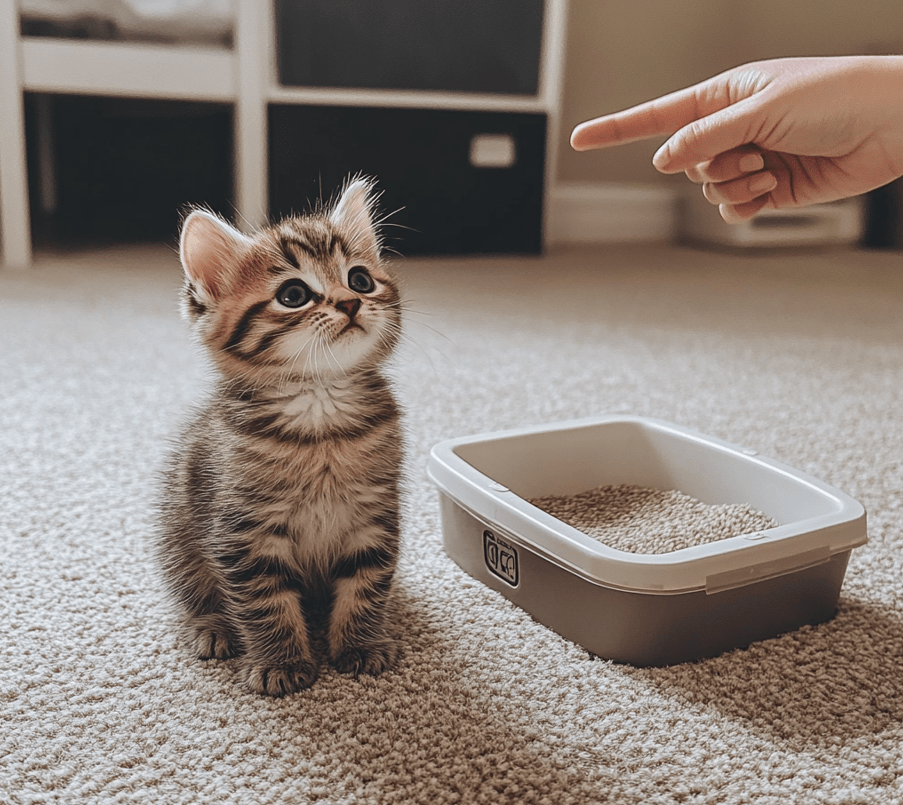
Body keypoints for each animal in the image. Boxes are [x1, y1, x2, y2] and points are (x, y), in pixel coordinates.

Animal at [157, 179, 404, 696]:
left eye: (360, 280)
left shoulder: (373, 516)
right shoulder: (242, 532)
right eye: (294, 294)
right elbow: (264, 603)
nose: (350, 302)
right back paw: (211, 627)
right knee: (194, 592)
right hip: (176, 529)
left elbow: (366, 584)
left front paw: (361, 644)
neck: (321, 410)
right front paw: (281, 662)